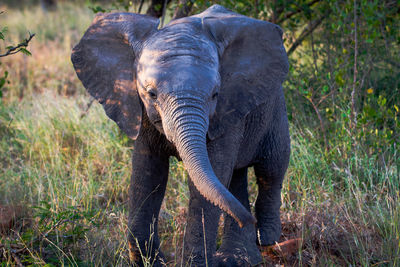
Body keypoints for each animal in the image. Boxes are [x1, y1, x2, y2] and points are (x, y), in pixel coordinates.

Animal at [72, 4, 290, 267]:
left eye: (215, 94)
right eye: (151, 94)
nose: (250, 220)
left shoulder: (227, 109)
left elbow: (211, 176)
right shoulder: (142, 110)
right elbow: (148, 173)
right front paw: (151, 262)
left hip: (275, 106)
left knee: (271, 167)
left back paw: (265, 237)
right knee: (236, 178)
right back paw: (240, 255)